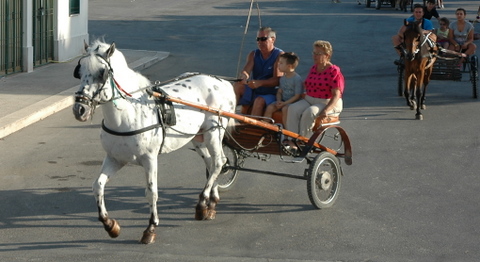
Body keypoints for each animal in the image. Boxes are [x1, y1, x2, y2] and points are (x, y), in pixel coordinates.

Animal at [72, 40, 235, 245]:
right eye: (79, 71)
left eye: (102, 73)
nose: (80, 109)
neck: (129, 114)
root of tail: (222, 82)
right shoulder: (115, 158)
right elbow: (98, 186)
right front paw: (110, 224)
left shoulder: (150, 159)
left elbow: (151, 193)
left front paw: (150, 228)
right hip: (197, 137)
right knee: (211, 163)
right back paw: (211, 202)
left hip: (214, 132)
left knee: (219, 162)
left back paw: (202, 203)